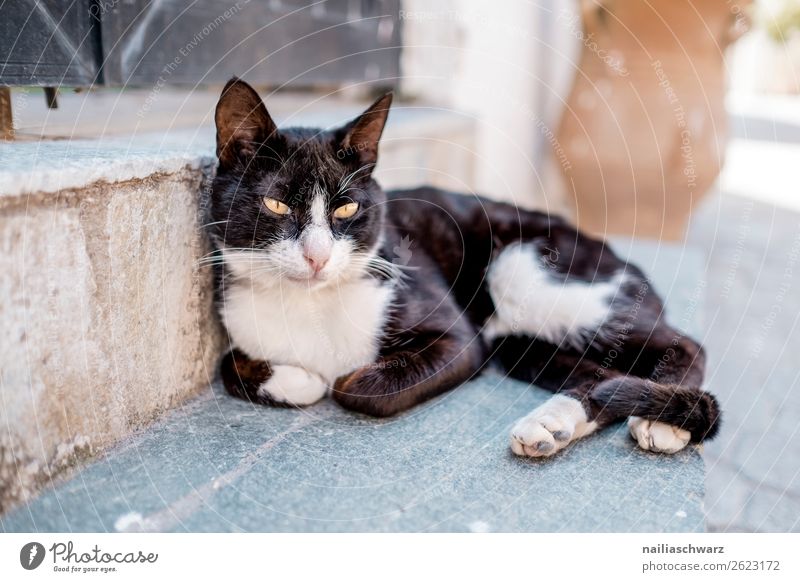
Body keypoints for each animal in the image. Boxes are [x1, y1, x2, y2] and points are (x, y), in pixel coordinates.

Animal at [206, 78, 720, 460]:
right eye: (275, 205)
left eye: (346, 209)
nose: (317, 256)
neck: (309, 305)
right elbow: (229, 366)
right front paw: (300, 381)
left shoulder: (459, 339)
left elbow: (359, 388)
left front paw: (332, 381)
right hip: (521, 346)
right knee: (598, 372)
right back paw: (551, 425)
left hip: (524, 270)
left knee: (683, 345)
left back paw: (659, 420)